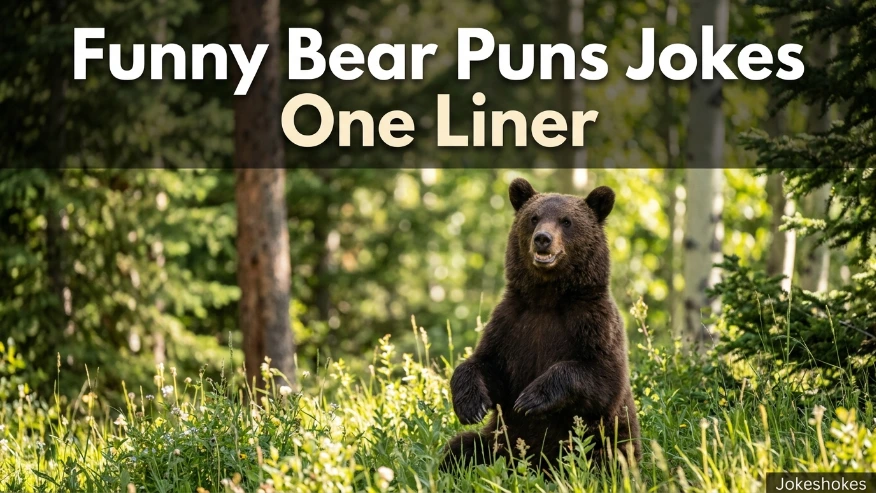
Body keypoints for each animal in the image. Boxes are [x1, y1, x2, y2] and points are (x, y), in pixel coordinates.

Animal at [441, 177, 641, 471]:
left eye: (566, 221)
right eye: (533, 218)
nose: (542, 238)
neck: (547, 298)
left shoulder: (593, 322)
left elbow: (602, 376)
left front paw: (531, 398)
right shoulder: (510, 323)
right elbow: (485, 363)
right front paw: (471, 405)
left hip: (604, 441)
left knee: (609, 458)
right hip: (498, 443)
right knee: (463, 448)